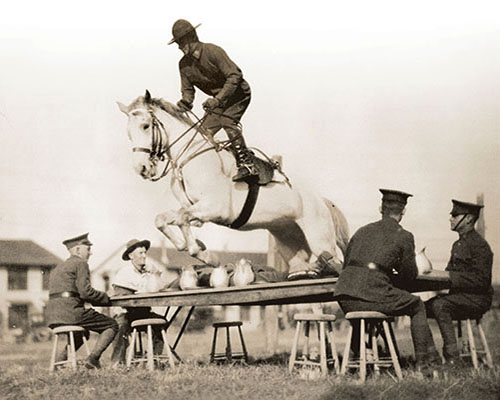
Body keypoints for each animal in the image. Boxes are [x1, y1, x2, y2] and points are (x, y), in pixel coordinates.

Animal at [118, 91, 350, 278]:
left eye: (145, 126)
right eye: (128, 134)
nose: (141, 168)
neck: (190, 157)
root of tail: (322, 202)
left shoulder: (215, 208)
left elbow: (182, 219)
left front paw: (201, 253)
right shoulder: (193, 209)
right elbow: (164, 219)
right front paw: (189, 246)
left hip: (321, 240)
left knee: (334, 262)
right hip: (290, 244)